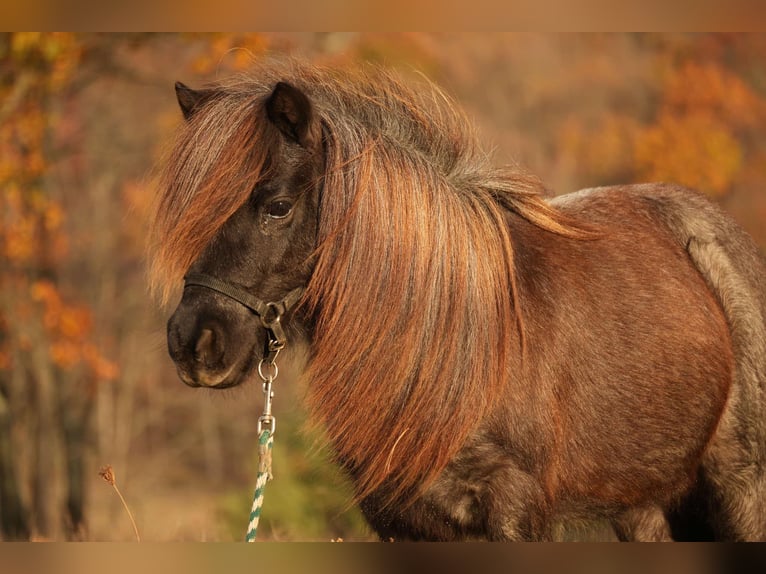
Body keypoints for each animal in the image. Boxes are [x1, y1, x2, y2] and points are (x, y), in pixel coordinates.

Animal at [150, 60, 766, 544]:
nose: (193, 343)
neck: (448, 343)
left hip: (740, 489)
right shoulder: (400, 521)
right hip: (647, 504)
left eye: (277, 206)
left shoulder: (515, 513)